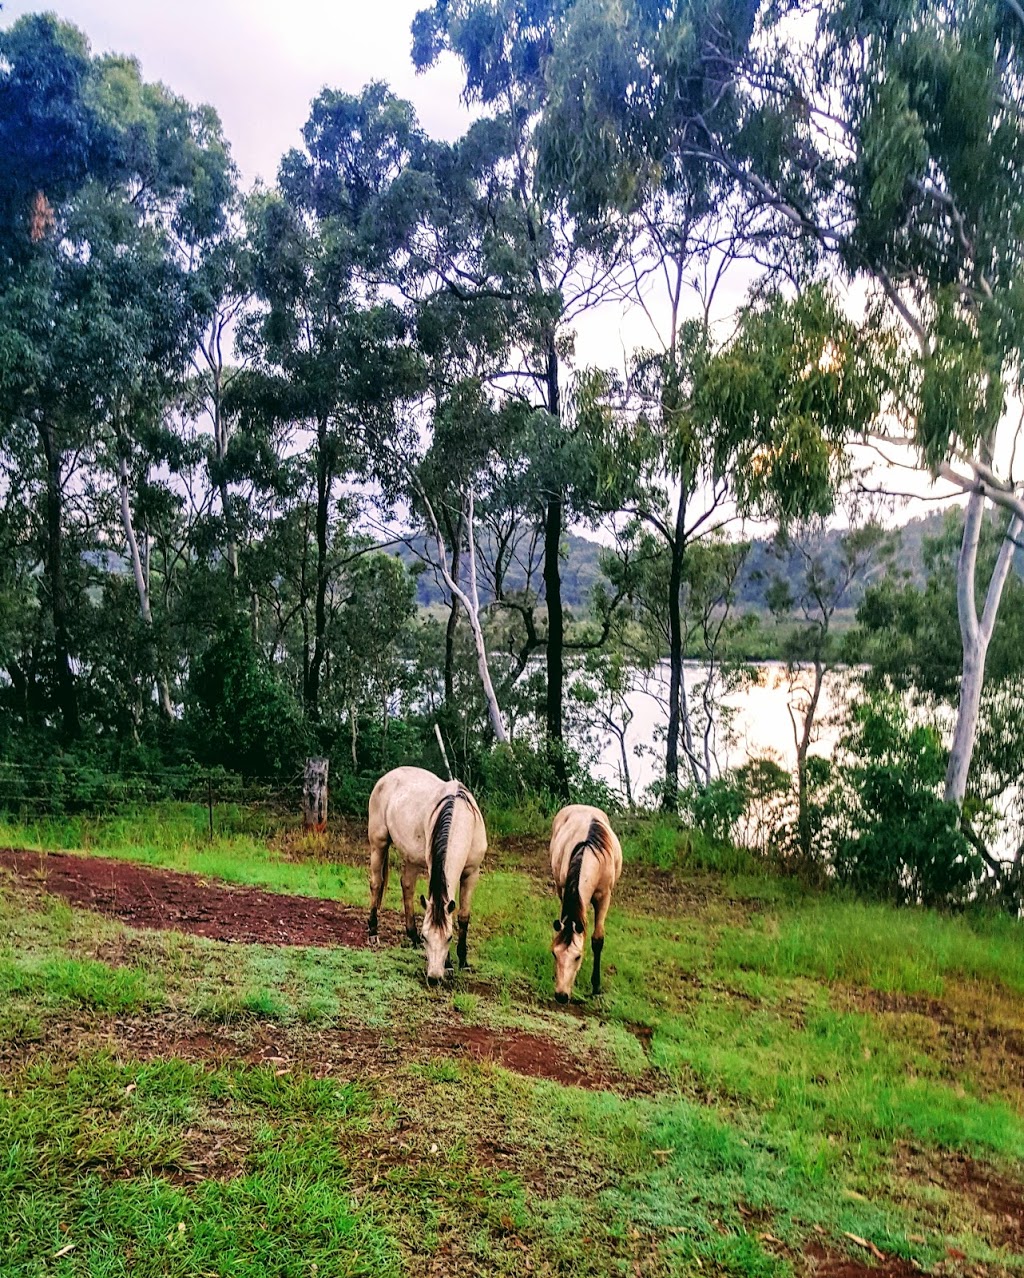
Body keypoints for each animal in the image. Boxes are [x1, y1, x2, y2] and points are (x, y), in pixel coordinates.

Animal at [365, 761, 485, 981]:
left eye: (449, 938)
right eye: (426, 936)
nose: (434, 976)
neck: (461, 817)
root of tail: (387, 777)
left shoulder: (472, 873)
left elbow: (463, 917)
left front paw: (463, 962)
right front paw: (449, 965)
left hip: (411, 857)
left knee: (407, 886)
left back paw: (411, 935)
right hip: (378, 843)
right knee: (376, 884)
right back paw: (373, 932)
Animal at [552, 802, 623, 1001]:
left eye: (577, 957)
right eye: (554, 954)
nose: (561, 996)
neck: (588, 851)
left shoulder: (604, 897)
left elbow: (597, 939)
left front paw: (596, 986)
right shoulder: (564, 888)